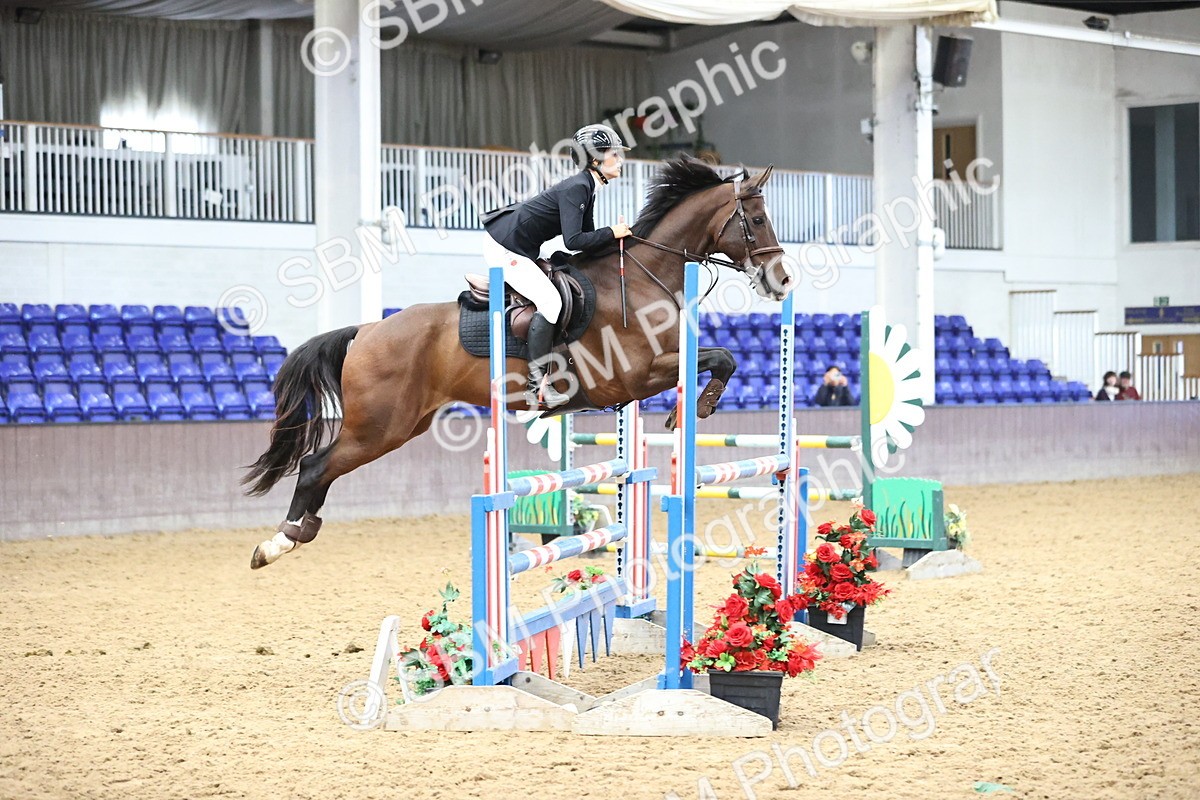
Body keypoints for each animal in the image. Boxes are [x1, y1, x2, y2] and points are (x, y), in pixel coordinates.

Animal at [244, 156, 792, 569]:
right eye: (757, 220)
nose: (782, 280)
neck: (641, 277)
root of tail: (366, 330)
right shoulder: (632, 377)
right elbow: (722, 357)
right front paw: (691, 411)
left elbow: (721, 357)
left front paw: (690, 410)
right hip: (380, 427)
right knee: (316, 466)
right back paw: (279, 541)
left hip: (402, 425)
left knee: (324, 469)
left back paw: (300, 531)